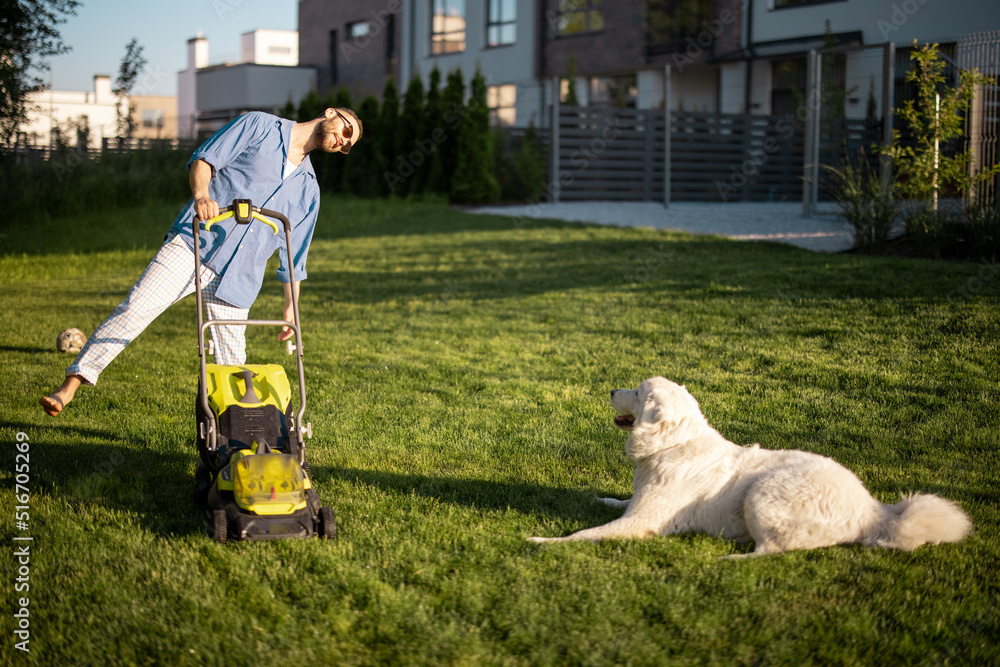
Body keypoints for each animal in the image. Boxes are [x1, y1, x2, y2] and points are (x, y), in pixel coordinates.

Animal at [528, 378, 972, 556]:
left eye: (636, 392)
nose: (610, 390)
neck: (674, 444)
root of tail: (872, 510)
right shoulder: (638, 504)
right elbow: (616, 503)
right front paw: (603, 498)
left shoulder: (641, 522)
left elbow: (584, 535)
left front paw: (542, 542)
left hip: (763, 494)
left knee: (775, 550)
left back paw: (731, 559)